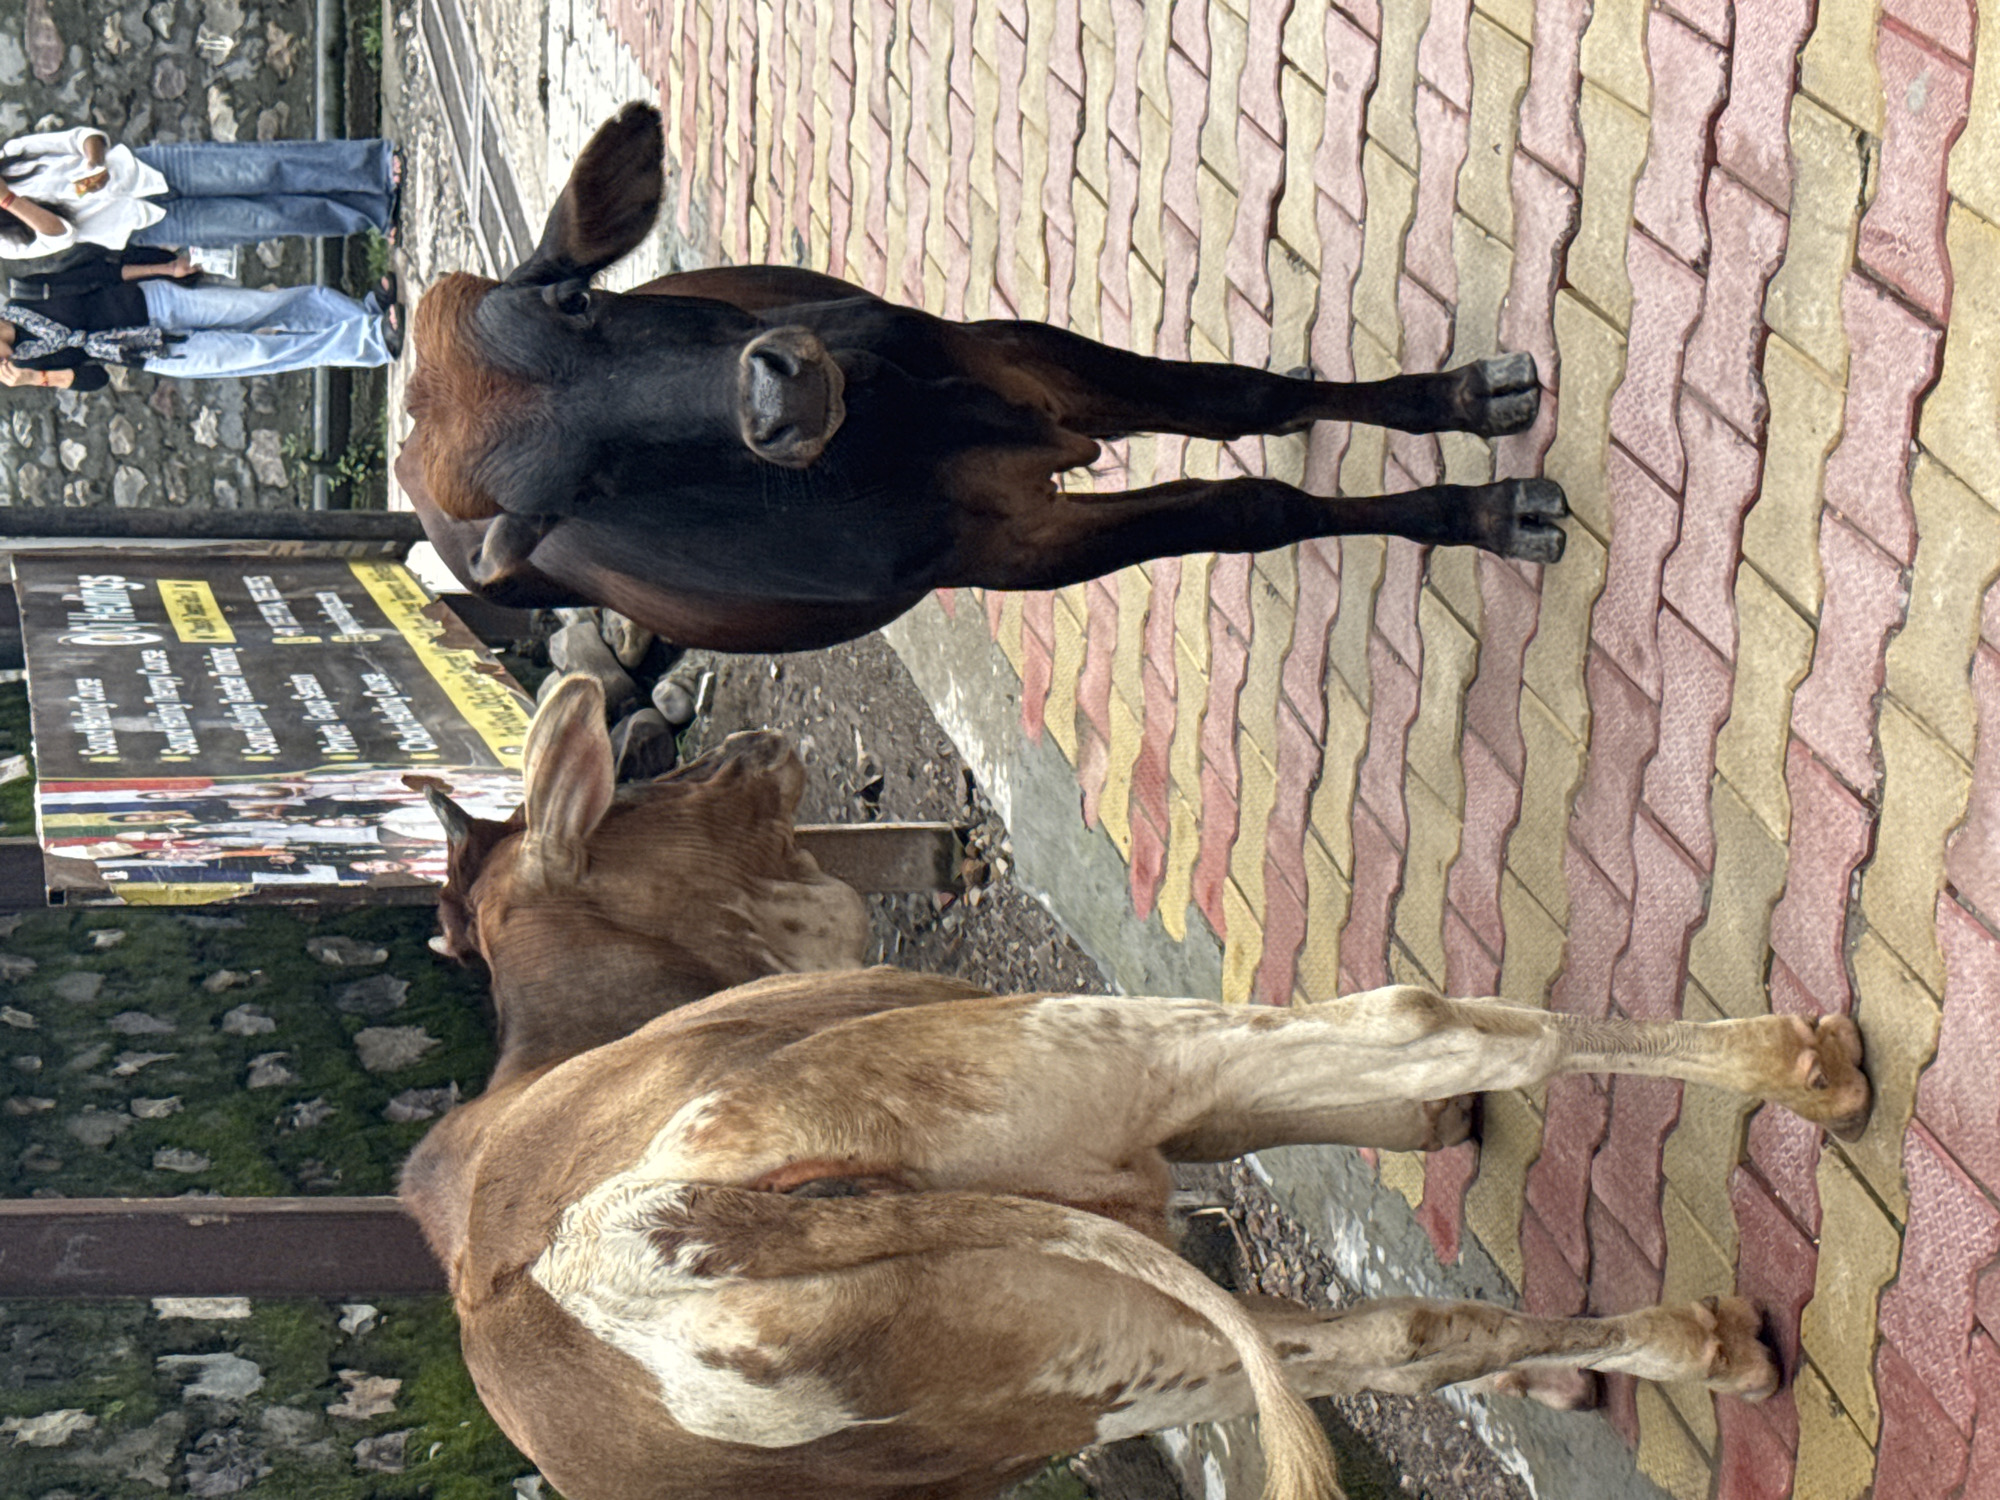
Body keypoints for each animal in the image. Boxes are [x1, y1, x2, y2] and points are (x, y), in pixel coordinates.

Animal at [397, 103, 1571, 653]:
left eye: (578, 302)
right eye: (584, 491)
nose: (780, 395)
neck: (895, 427)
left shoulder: (1017, 352)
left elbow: (1242, 397)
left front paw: (1466, 401)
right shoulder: (1011, 546)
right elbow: (1254, 509)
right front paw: (1490, 512)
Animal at [404, 676, 1872, 1500]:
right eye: (657, 783)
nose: (759, 742)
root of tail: (643, 1235)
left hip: (1091, 1362)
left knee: (1391, 1335)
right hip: (1084, 1064)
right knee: (1433, 1031)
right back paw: (1779, 1119)